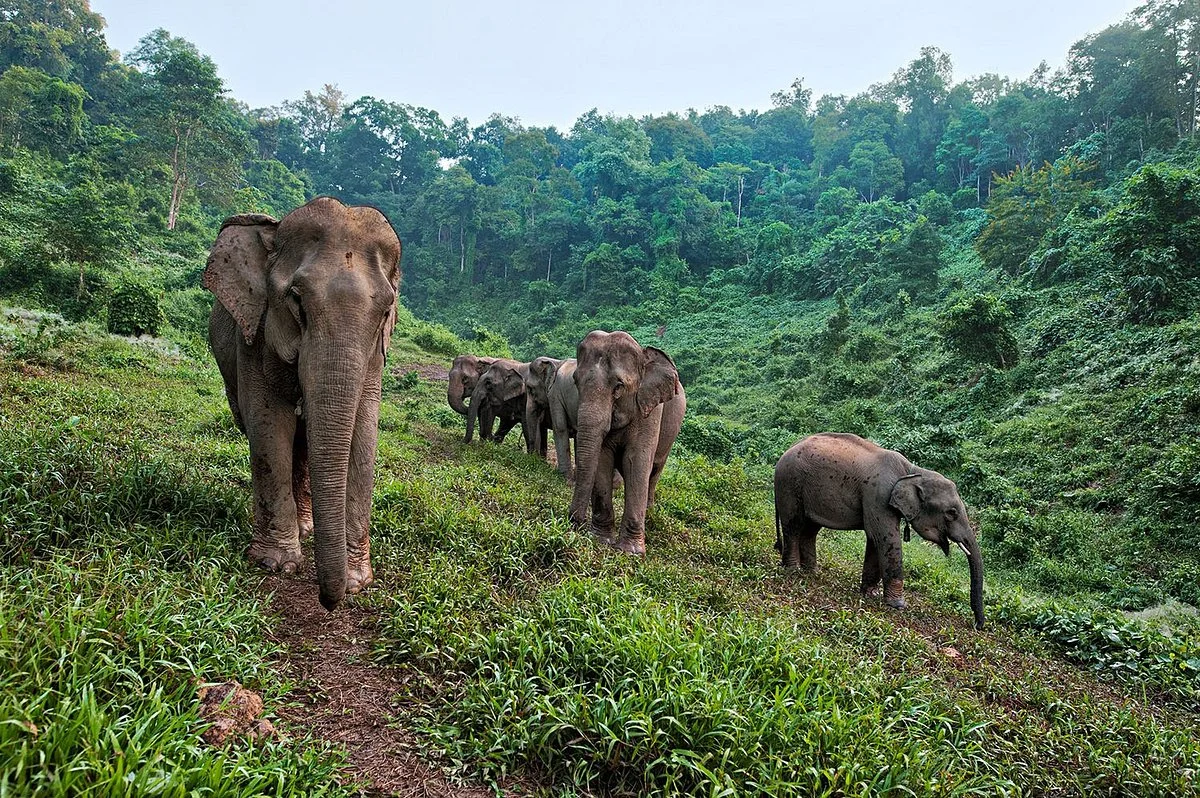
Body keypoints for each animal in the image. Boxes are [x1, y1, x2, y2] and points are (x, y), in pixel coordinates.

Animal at [204, 197, 401, 611]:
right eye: (296, 301)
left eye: (384, 311)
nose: (328, 602)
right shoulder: (255, 332)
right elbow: (268, 423)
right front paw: (275, 564)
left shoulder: (375, 357)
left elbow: (363, 433)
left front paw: (358, 580)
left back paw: (306, 527)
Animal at [570, 331, 686, 555]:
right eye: (575, 381)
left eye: (619, 387)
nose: (575, 524)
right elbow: (602, 459)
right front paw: (601, 540)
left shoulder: (650, 411)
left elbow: (636, 462)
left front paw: (631, 552)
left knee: (654, 473)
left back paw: (650, 514)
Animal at [773, 432, 985, 630]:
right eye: (951, 513)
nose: (978, 625)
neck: (912, 471)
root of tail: (785, 452)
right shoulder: (878, 496)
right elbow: (886, 539)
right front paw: (898, 605)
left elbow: (875, 540)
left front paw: (870, 594)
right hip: (790, 484)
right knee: (793, 525)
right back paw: (793, 570)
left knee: (810, 530)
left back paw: (811, 573)